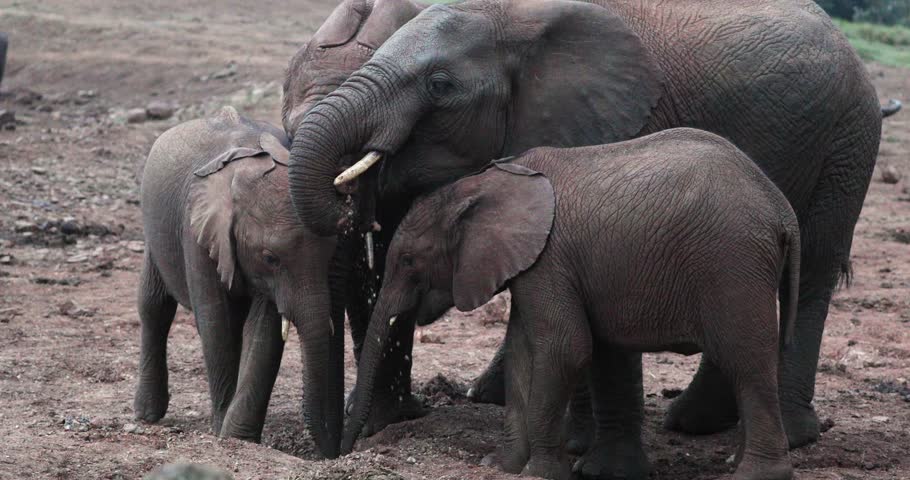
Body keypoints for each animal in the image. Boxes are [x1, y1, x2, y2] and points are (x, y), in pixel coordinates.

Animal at [134, 106, 343, 458]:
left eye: (331, 253)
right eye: (271, 258)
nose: (332, 451)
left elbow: (264, 332)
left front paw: (238, 437)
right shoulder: (196, 233)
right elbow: (216, 321)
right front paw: (223, 433)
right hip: (154, 230)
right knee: (154, 307)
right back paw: (147, 415)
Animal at [347, 129, 802, 480]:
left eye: (409, 261)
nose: (349, 447)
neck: (486, 181)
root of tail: (782, 210)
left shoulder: (550, 260)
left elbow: (564, 349)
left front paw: (539, 473)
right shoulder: (531, 268)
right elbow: (523, 355)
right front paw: (499, 465)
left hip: (733, 262)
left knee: (745, 360)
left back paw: (754, 474)